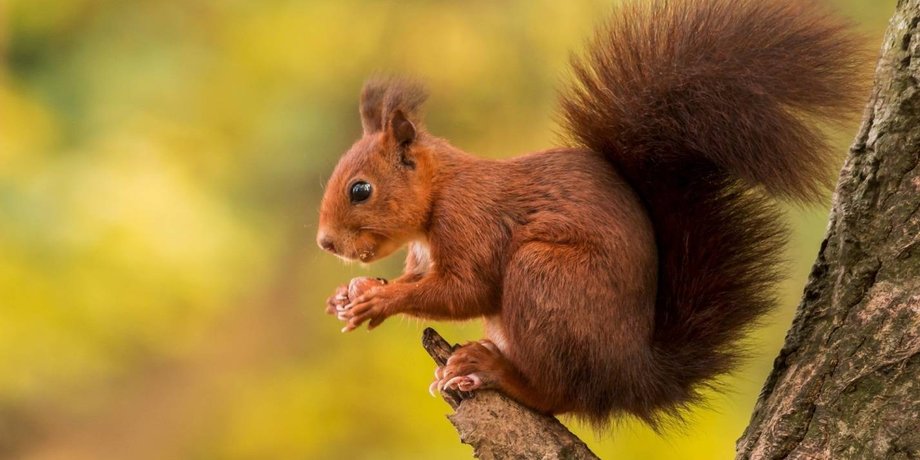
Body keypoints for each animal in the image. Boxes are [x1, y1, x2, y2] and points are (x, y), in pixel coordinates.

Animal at [317, 0, 866, 427]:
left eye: (361, 189)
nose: (325, 243)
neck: (439, 194)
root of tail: (629, 377)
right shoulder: (421, 254)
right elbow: (417, 280)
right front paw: (353, 292)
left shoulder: (471, 222)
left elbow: (465, 289)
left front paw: (377, 301)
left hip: (547, 277)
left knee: (557, 395)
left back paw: (494, 370)